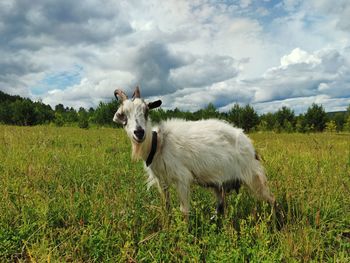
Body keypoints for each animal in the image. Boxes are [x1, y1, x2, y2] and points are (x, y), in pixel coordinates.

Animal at [113, 86, 274, 219]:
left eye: (146, 111)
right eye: (123, 114)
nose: (139, 132)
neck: (159, 144)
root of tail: (250, 145)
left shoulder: (182, 178)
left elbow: (184, 211)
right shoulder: (161, 180)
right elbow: (166, 206)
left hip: (254, 177)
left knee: (271, 199)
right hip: (221, 184)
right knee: (221, 206)